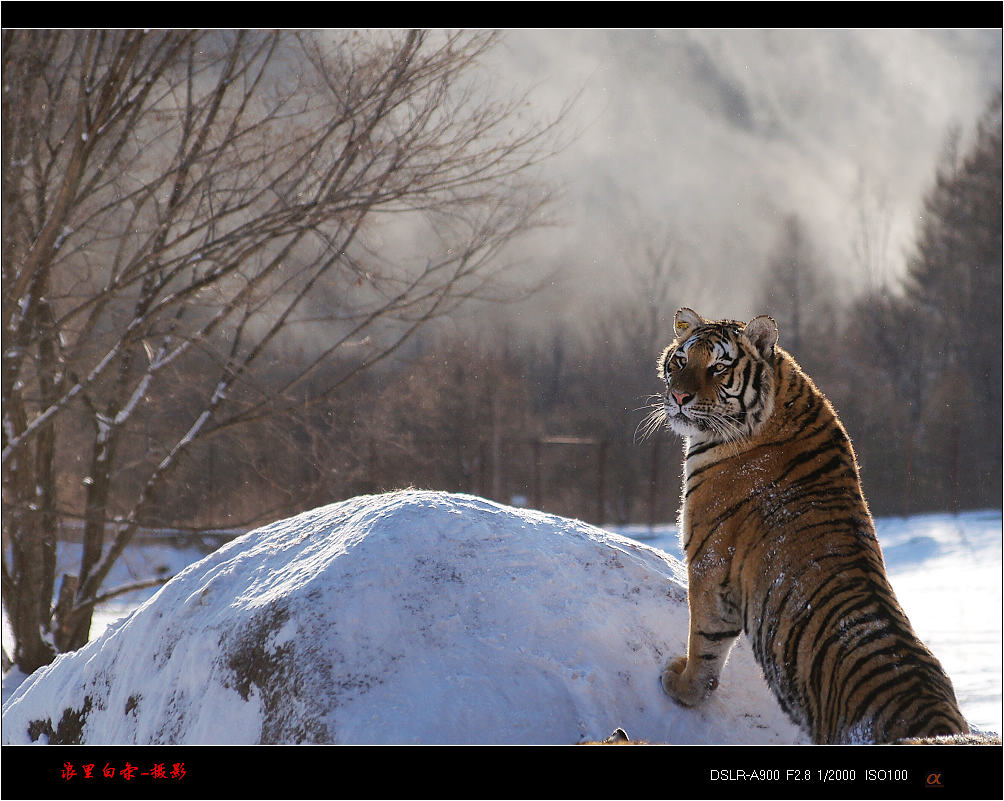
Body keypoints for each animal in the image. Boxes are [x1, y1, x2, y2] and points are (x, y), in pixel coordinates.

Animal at [646, 305, 967, 746]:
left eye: (718, 367)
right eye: (680, 361)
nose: (678, 397)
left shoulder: (708, 562)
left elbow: (705, 643)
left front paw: (683, 686)